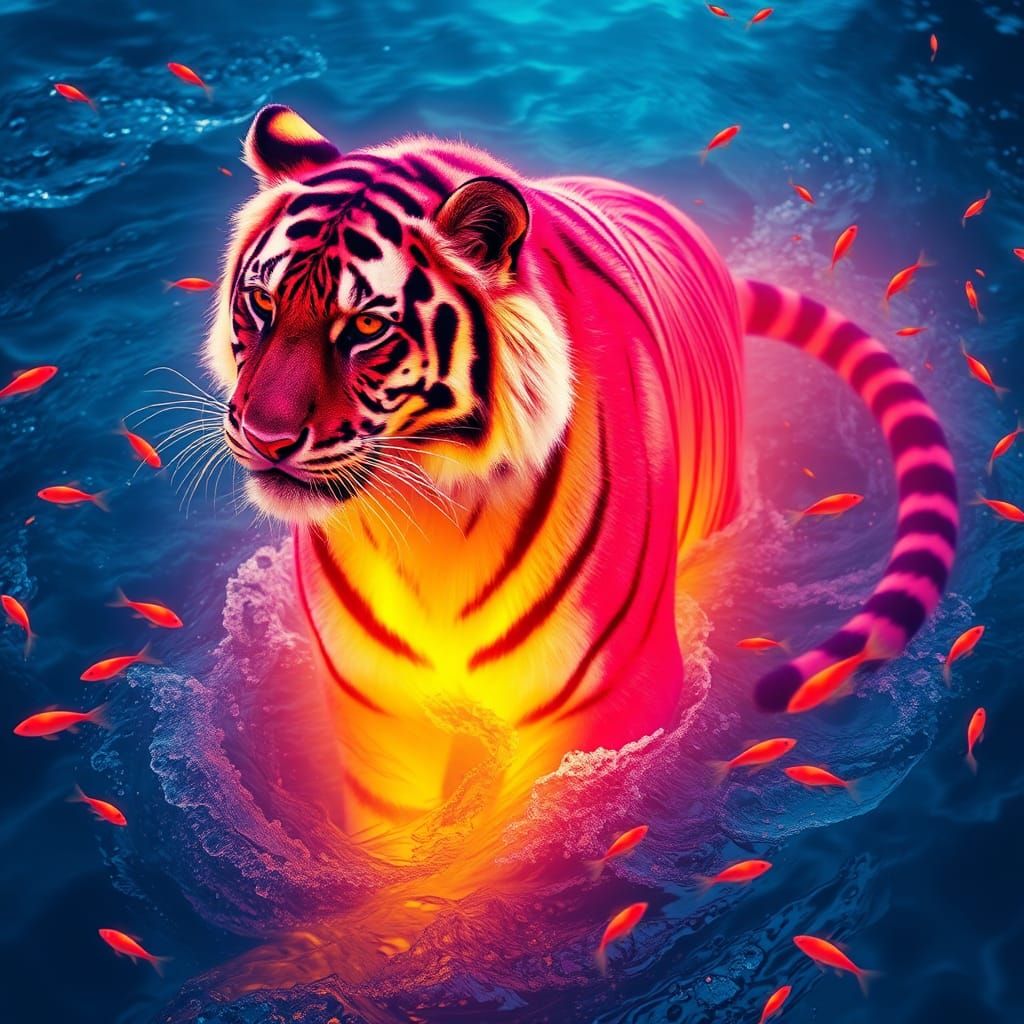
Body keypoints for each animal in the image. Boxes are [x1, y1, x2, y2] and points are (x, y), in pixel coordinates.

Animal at [205, 105, 957, 849]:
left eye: (364, 328)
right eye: (262, 303)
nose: (266, 437)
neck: (429, 509)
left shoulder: (609, 704)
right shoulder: (380, 711)